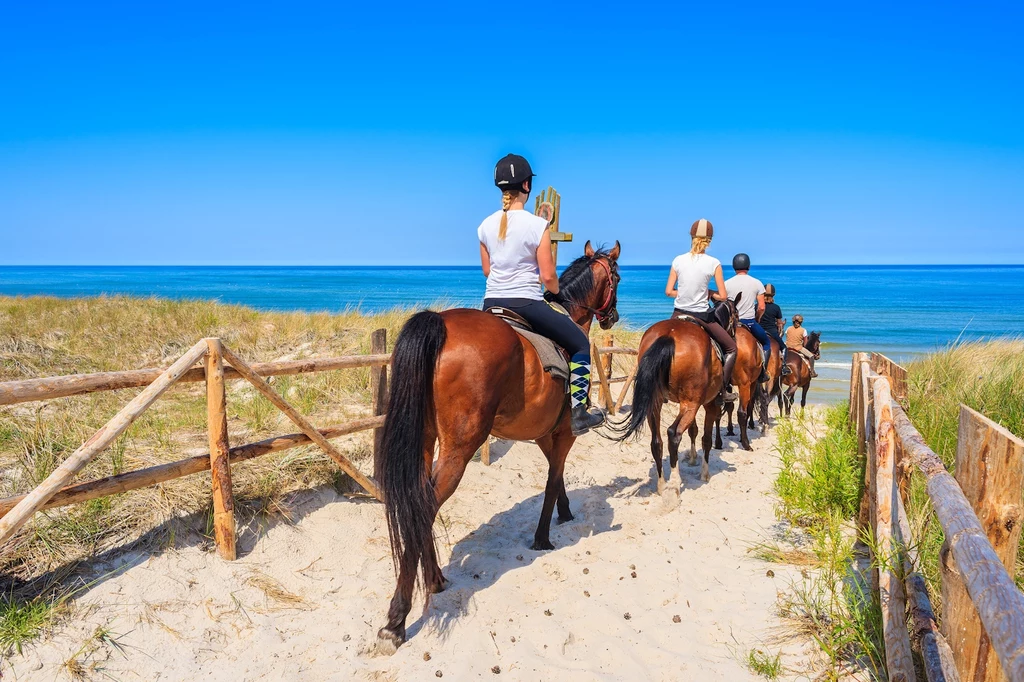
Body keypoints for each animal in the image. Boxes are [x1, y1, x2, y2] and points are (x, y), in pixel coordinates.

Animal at [374, 238, 618, 647]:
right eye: (616, 276)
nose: (612, 316)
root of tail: (441, 324)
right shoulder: (565, 433)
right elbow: (553, 479)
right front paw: (543, 537)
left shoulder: (543, 434)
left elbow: (557, 477)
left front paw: (565, 513)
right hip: (459, 447)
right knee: (427, 504)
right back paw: (396, 618)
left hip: (425, 442)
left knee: (419, 502)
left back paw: (435, 580)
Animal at [610, 296, 741, 483]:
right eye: (736, 316)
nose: (735, 337)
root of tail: (669, 335)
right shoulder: (709, 404)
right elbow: (706, 439)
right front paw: (704, 473)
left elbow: (693, 430)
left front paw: (693, 459)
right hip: (691, 404)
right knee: (673, 433)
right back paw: (674, 483)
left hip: (658, 402)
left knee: (656, 442)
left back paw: (661, 484)